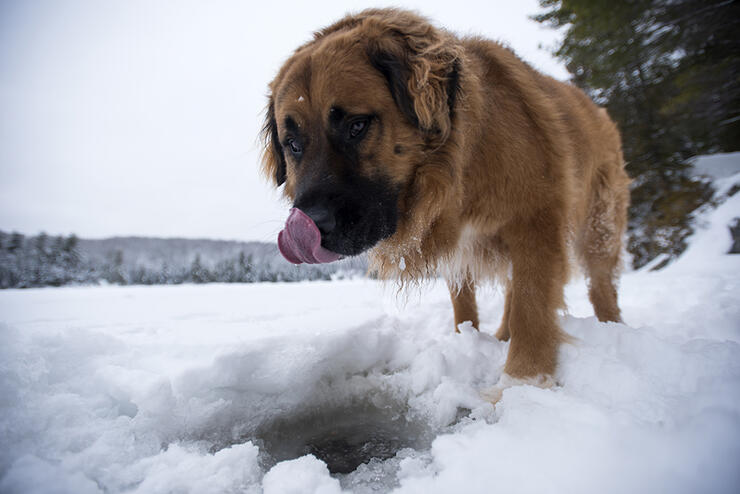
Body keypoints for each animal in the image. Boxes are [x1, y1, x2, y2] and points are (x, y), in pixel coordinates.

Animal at [260, 6, 632, 394]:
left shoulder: (537, 221)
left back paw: (612, 331)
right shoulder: (457, 246)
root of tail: (597, 109)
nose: (312, 225)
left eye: (357, 126)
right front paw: (466, 343)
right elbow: (466, 306)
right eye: (293, 144)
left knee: (601, 287)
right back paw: (502, 335)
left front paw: (519, 384)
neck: (461, 172)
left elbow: (532, 308)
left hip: (599, 228)